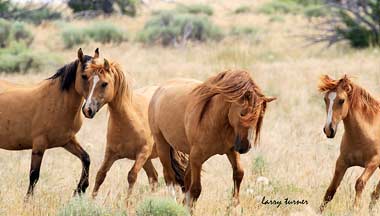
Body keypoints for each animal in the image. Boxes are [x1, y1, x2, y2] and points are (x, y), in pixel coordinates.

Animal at [0, 48, 98, 197]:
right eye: (84, 76)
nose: (89, 110)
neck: (58, 101)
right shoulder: (39, 144)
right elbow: (34, 175)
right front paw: (28, 200)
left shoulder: (67, 141)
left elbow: (86, 158)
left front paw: (80, 189)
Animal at [78, 57, 159, 197]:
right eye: (88, 80)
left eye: (104, 83)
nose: (87, 110)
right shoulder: (111, 153)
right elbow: (100, 175)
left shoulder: (142, 153)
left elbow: (131, 176)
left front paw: (127, 202)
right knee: (154, 177)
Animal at [148, 70, 276, 208]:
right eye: (242, 113)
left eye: (260, 115)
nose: (245, 147)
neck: (215, 120)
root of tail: (159, 90)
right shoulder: (197, 158)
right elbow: (196, 189)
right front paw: (189, 209)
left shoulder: (231, 150)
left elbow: (238, 173)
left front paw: (234, 206)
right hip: (162, 145)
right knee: (169, 177)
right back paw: (173, 203)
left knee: (185, 178)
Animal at [320, 75, 380, 212]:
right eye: (325, 99)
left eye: (342, 100)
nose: (328, 130)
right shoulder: (342, 162)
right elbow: (330, 190)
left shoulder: (373, 162)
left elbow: (360, 183)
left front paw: (355, 209)